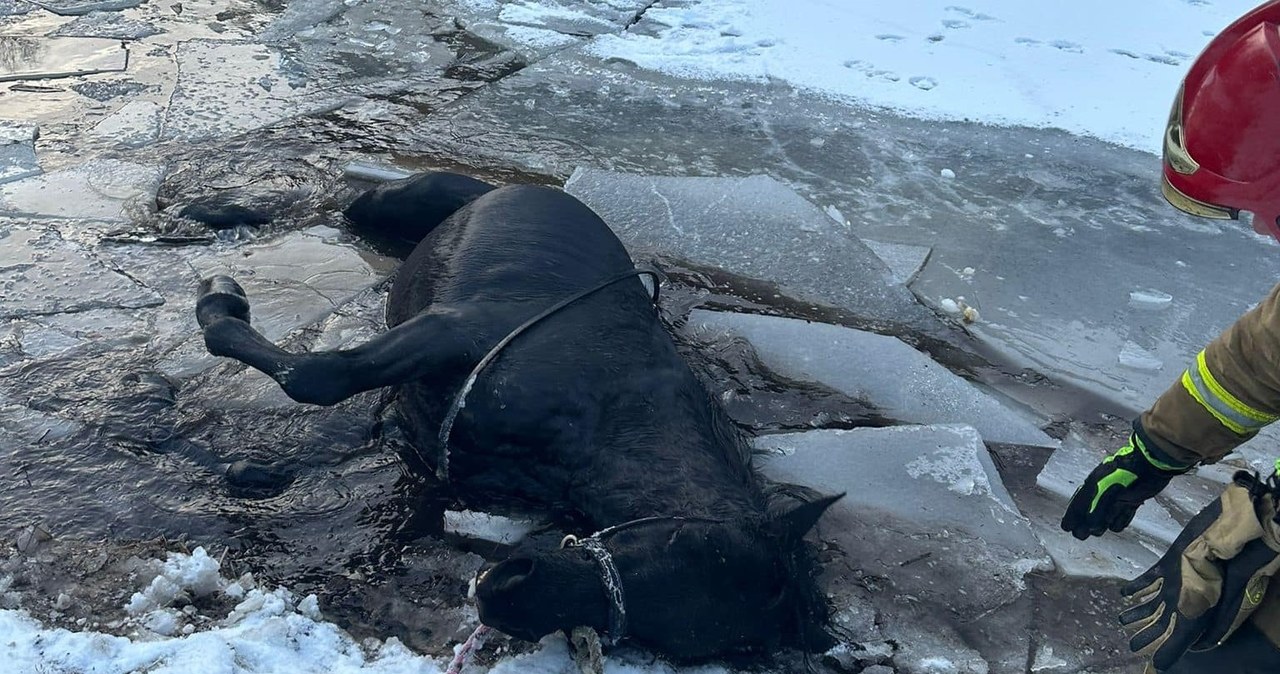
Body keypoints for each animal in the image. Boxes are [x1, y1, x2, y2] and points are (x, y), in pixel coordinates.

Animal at [194, 171, 844, 659]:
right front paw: (219, 306)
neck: (606, 413)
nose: (502, 593)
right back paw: (213, 220)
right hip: (395, 204)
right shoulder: (445, 332)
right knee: (334, 205)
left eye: (669, 638)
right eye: (682, 540)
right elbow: (319, 377)